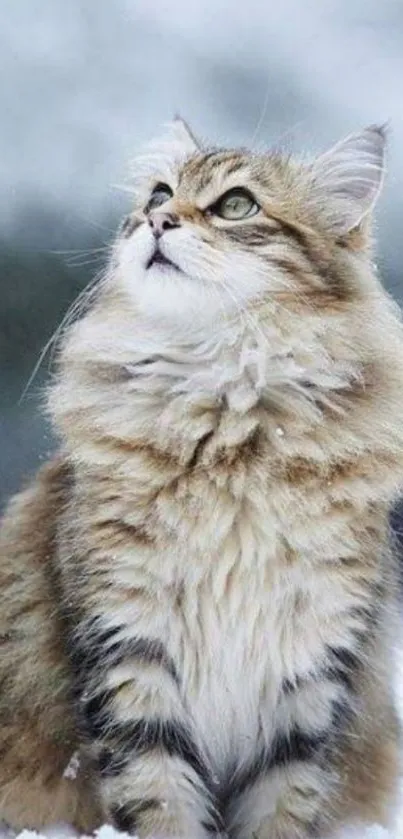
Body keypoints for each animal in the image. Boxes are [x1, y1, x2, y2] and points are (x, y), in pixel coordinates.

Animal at [0, 120, 403, 839]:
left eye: (236, 205)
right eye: (160, 194)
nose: (158, 220)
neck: (229, 429)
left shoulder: (312, 665)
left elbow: (283, 805)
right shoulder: (128, 644)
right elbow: (158, 797)